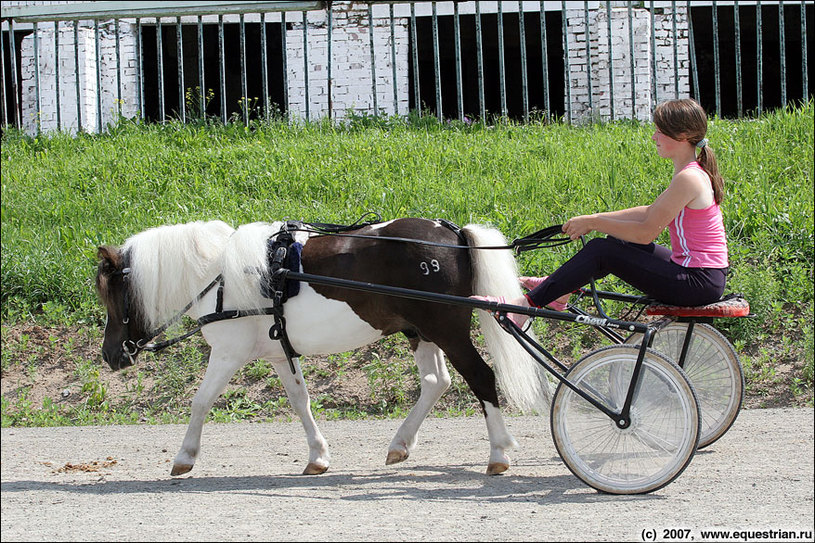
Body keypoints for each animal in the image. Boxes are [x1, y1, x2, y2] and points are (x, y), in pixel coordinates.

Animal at [97, 219, 556, 478]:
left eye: (111, 295)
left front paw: (184, 456)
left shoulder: (227, 355)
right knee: (435, 382)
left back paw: (498, 452)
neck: (219, 275)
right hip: (421, 333)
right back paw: (400, 444)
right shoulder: (279, 353)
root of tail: (454, 235)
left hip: (446, 331)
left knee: (480, 377)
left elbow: (200, 402)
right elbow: (300, 402)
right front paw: (317, 456)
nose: (111, 355)